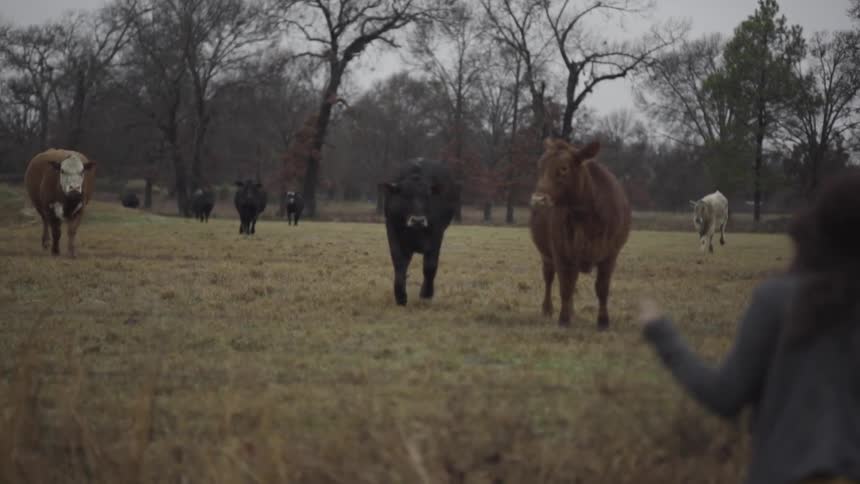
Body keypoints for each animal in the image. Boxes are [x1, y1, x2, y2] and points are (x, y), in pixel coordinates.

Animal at [381, 158, 460, 306]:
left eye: (427, 196)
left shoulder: (436, 234)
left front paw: (426, 294)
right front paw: (400, 296)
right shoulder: (393, 231)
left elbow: (430, 266)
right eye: (405, 196)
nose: (418, 220)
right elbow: (399, 263)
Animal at [529, 138, 631, 330]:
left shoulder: (611, 254)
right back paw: (548, 309)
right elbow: (564, 286)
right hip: (546, 254)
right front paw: (563, 319)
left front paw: (603, 321)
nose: (538, 200)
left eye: (563, 168)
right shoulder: (561, 252)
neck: (586, 217)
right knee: (549, 277)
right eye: (540, 165)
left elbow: (602, 288)